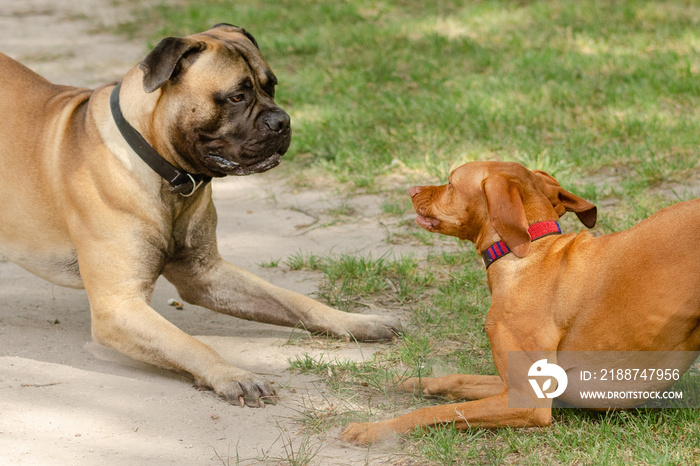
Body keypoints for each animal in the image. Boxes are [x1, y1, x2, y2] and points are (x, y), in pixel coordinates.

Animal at [0, 23, 402, 406]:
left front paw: (357, 321)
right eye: (237, 96)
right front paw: (232, 374)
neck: (165, 172)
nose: (283, 121)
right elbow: (189, 343)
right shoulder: (119, 306)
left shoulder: (206, 275)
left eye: (271, 86)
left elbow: (295, 301)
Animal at [340, 161, 700, 444]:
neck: (527, 254)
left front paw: (372, 429)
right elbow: (457, 380)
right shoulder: (516, 387)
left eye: (451, 181)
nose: (412, 189)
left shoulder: (526, 400)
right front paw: (410, 382)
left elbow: (436, 411)